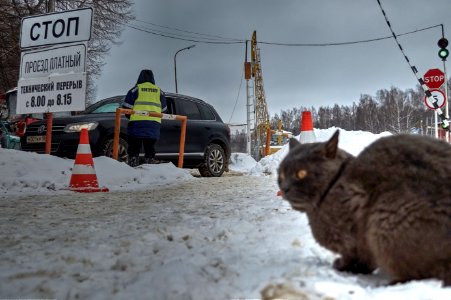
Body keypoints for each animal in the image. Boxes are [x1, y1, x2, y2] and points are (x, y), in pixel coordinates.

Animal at [278, 130, 451, 284]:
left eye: (301, 173)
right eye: (281, 175)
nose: (285, 188)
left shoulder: (355, 228)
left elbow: (358, 255)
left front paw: (343, 266)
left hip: (385, 218)